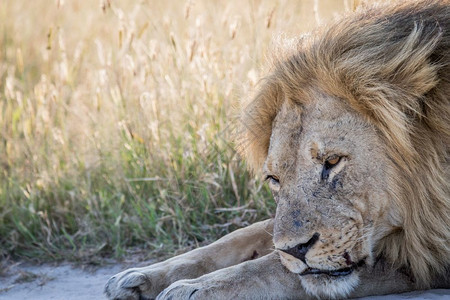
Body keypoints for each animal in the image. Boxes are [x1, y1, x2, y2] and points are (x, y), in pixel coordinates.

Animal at [103, 1, 450, 298]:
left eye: (332, 161)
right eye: (274, 179)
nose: (295, 250)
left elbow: (272, 268)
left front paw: (194, 288)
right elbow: (244, 235)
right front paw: (141, 276)